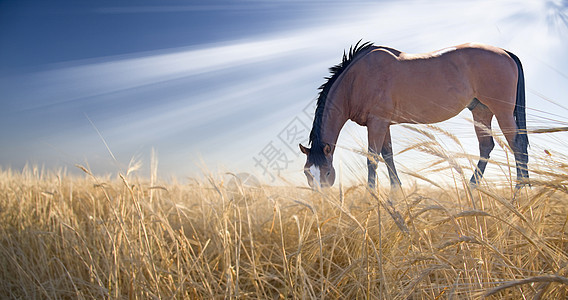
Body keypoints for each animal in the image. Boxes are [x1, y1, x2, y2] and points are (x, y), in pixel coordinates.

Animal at [302, 40, 528, 190]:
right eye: (307, 172)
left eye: (327, 172)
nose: (322, 203)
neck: (356, 79)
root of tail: (505, 52)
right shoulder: (384, 124)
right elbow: (388, 156)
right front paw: (396, 193)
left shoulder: (377, 123)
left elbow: (372, 159)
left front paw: (372, 196)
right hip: (481, 111)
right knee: (486, 146)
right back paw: (473, 187)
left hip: (502, 111)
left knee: (516, 144)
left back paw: (520, 190)